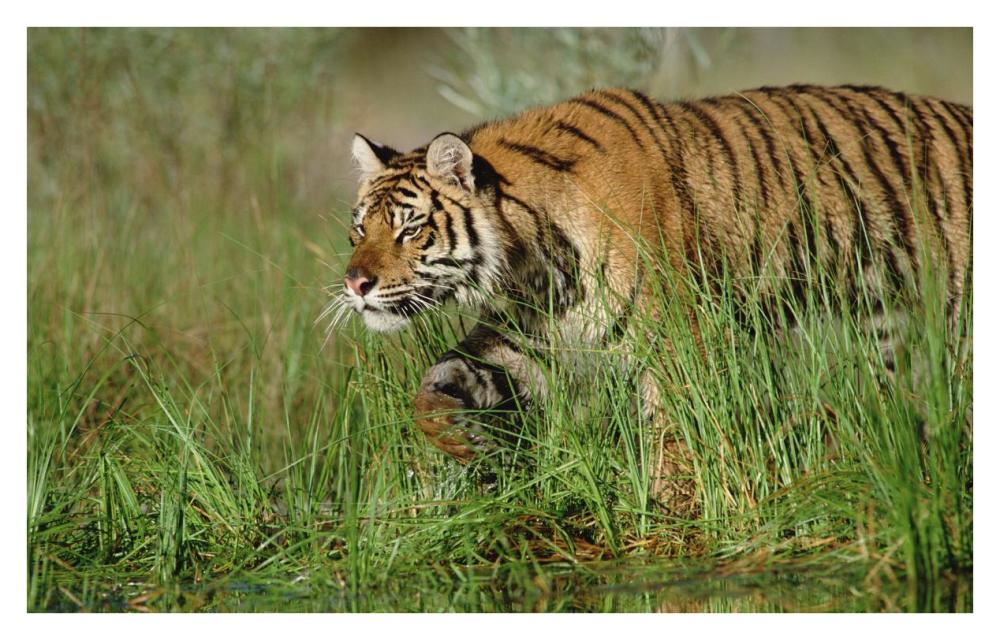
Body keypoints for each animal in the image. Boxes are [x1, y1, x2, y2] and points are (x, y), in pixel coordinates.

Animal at [329, 84, 972, 490]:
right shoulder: (530, 336)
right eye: (360, 228)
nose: (356, 283)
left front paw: (677, 519)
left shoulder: (681, 343)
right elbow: (436, 385)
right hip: (889, 335)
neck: (533, 265)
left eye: (410, 229)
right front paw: (463, 440)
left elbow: (681, 445)